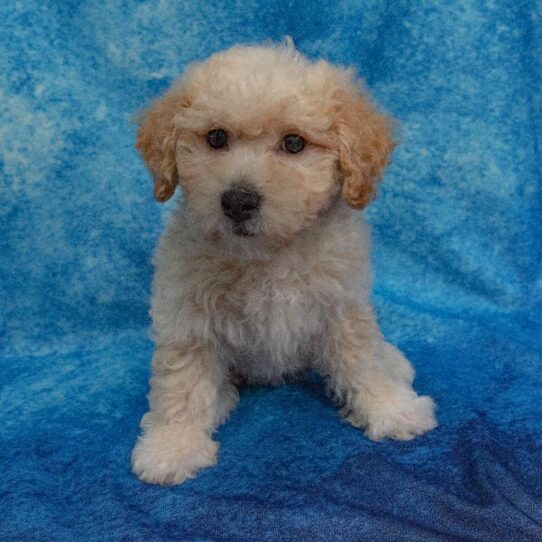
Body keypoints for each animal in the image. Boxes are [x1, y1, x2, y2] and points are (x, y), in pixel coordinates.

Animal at [132, 40, 438, 486]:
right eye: (216, 137)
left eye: (294, 143)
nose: (238, 201)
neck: (269, 254)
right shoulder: (189, 317)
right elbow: (182, 382)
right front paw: (172, 446)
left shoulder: (341, 304)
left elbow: (362, 360)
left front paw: (391, 410)